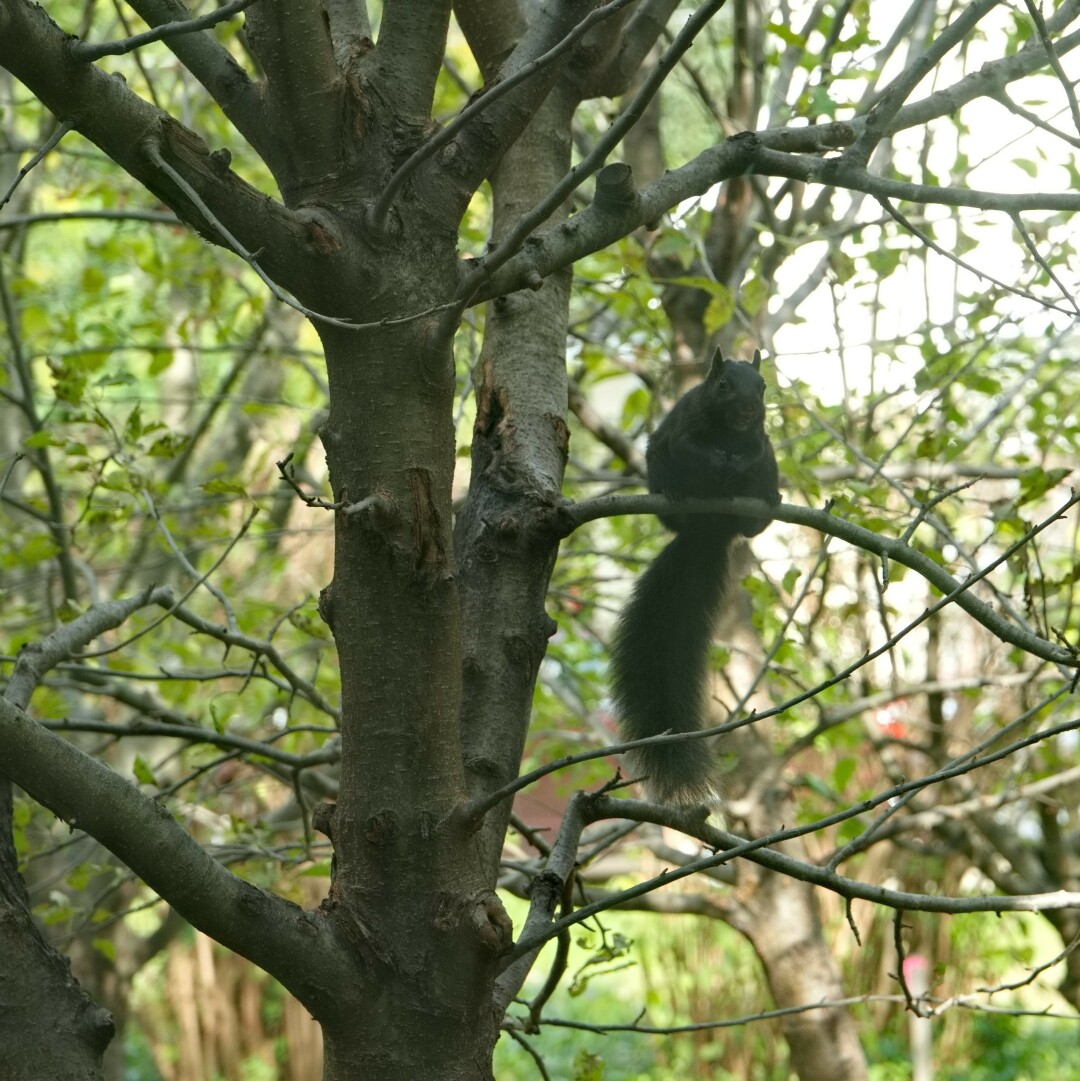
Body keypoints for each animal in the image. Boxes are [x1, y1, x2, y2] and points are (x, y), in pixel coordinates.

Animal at [610, 349, 781, 803]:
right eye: (722, 385)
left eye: (763, 386)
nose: (748, 408)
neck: (727, 430)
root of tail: (709, 530)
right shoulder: (685, 425)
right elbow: (689, 447)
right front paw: (718, 460)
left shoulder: (759, 440)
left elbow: (754, 450)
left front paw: (737, 461)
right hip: (660, 468)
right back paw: (677, 496)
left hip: (767, 474)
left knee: (757, 506)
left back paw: (767, 503)